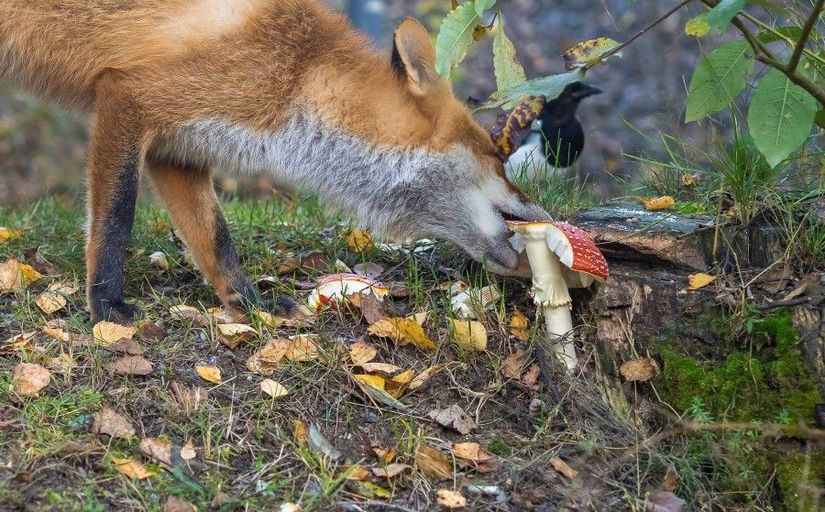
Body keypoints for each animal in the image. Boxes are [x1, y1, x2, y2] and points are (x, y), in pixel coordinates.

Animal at [4, 0, 552, 322]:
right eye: (497, 157)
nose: (546, 214)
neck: (297, 75)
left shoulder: (175, 148)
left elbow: (215, 238)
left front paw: (248, 302)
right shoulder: (130, 97)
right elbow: (116, 217)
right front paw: (105, 305)